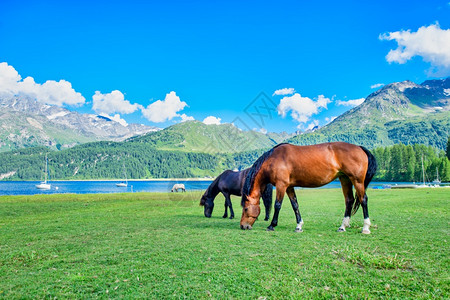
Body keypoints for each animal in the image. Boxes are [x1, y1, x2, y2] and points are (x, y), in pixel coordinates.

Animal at [241, 143, 378, 234]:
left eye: (246, 208)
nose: (243, 226)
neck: (274, 159)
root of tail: (359, 148)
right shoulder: (289, 187)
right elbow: (295, 205)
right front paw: (299, 226)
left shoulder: (281, 185)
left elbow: (277, 205)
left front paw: (272, 225)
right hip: (345, 179)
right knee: (349, 200)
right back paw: (342, 226)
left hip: (357, 181)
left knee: (363, 200)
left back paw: (366, 228)